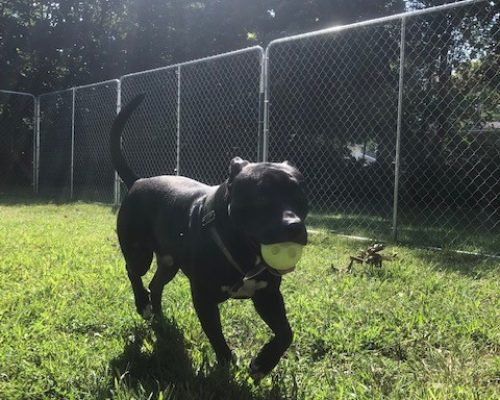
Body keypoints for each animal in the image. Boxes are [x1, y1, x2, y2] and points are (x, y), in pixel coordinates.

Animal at [110, 94, 308, 378]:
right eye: (261, 197)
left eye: (301, 196)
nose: (293, 226)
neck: (242, 251)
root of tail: (138, 181)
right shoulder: (204, 299)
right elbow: (216, 336)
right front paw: (227, 368)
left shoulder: (268, 296)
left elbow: (285, 333)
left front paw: (262, 364)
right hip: (139, 252)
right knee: (133, 271)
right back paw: (143, 304)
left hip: (169, 263)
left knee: (156, 284)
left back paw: (159, 317)